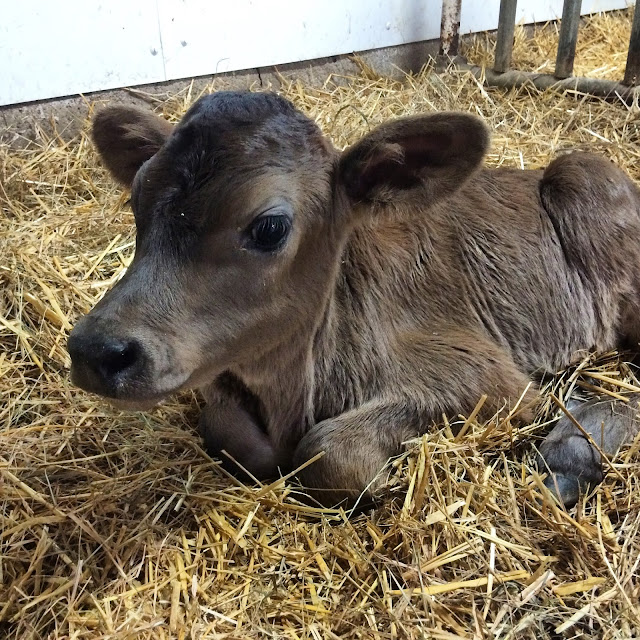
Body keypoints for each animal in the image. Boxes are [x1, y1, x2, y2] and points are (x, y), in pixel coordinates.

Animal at [67, 91, 640, 507]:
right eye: (137, 200)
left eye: (270, 227)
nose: (96, 350)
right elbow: (231, 432)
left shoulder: (488, 376)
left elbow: (327, 454)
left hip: (584, 183)